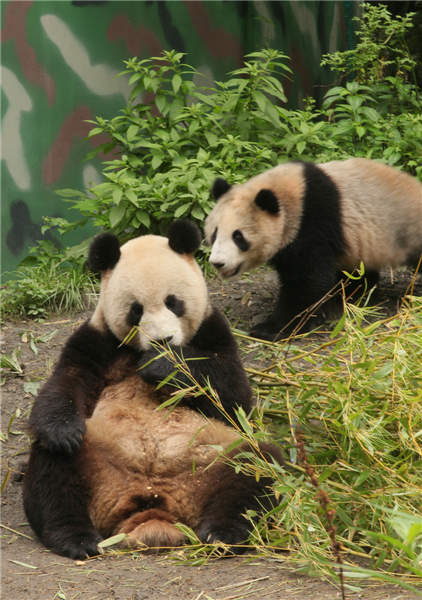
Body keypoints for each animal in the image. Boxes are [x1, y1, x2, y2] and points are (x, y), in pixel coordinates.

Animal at [22, 221, 280, 564]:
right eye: (136, 310)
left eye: (174, 302)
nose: (163, 340)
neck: (138, 352)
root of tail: (155, 503)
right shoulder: (98, 341)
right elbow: (66, 382)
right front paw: (64, 430)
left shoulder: (213, 331)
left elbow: (233, 398)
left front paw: (163, 365)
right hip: (95, 458)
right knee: (52, 472)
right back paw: (76, 538)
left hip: (215, 459)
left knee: (257, 467)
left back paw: (222, 533)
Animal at [205, 157, 422, 340]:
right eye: (215, 233)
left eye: (238, 237)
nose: (218, 263)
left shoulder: (312, 222)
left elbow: (308, 281)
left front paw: (271, 328)